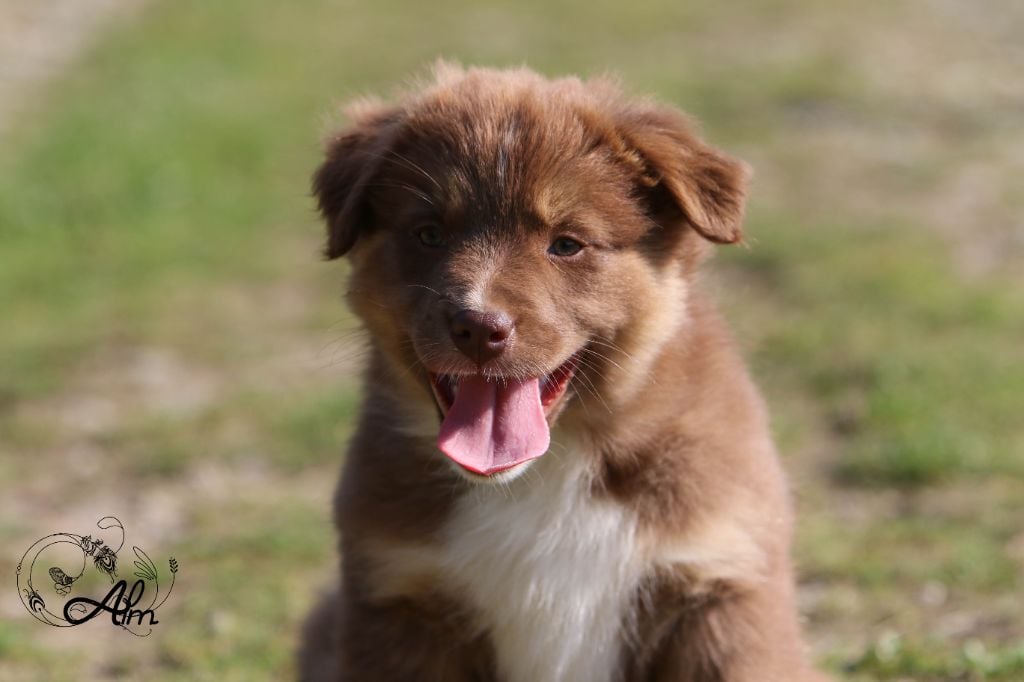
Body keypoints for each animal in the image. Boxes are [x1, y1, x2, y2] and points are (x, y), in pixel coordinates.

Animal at [299, 63, 826, 682]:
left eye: (567, 244)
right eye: (429, 233)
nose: (478, 326)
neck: (550, 471)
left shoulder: (722, 585)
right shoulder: (398, 595)